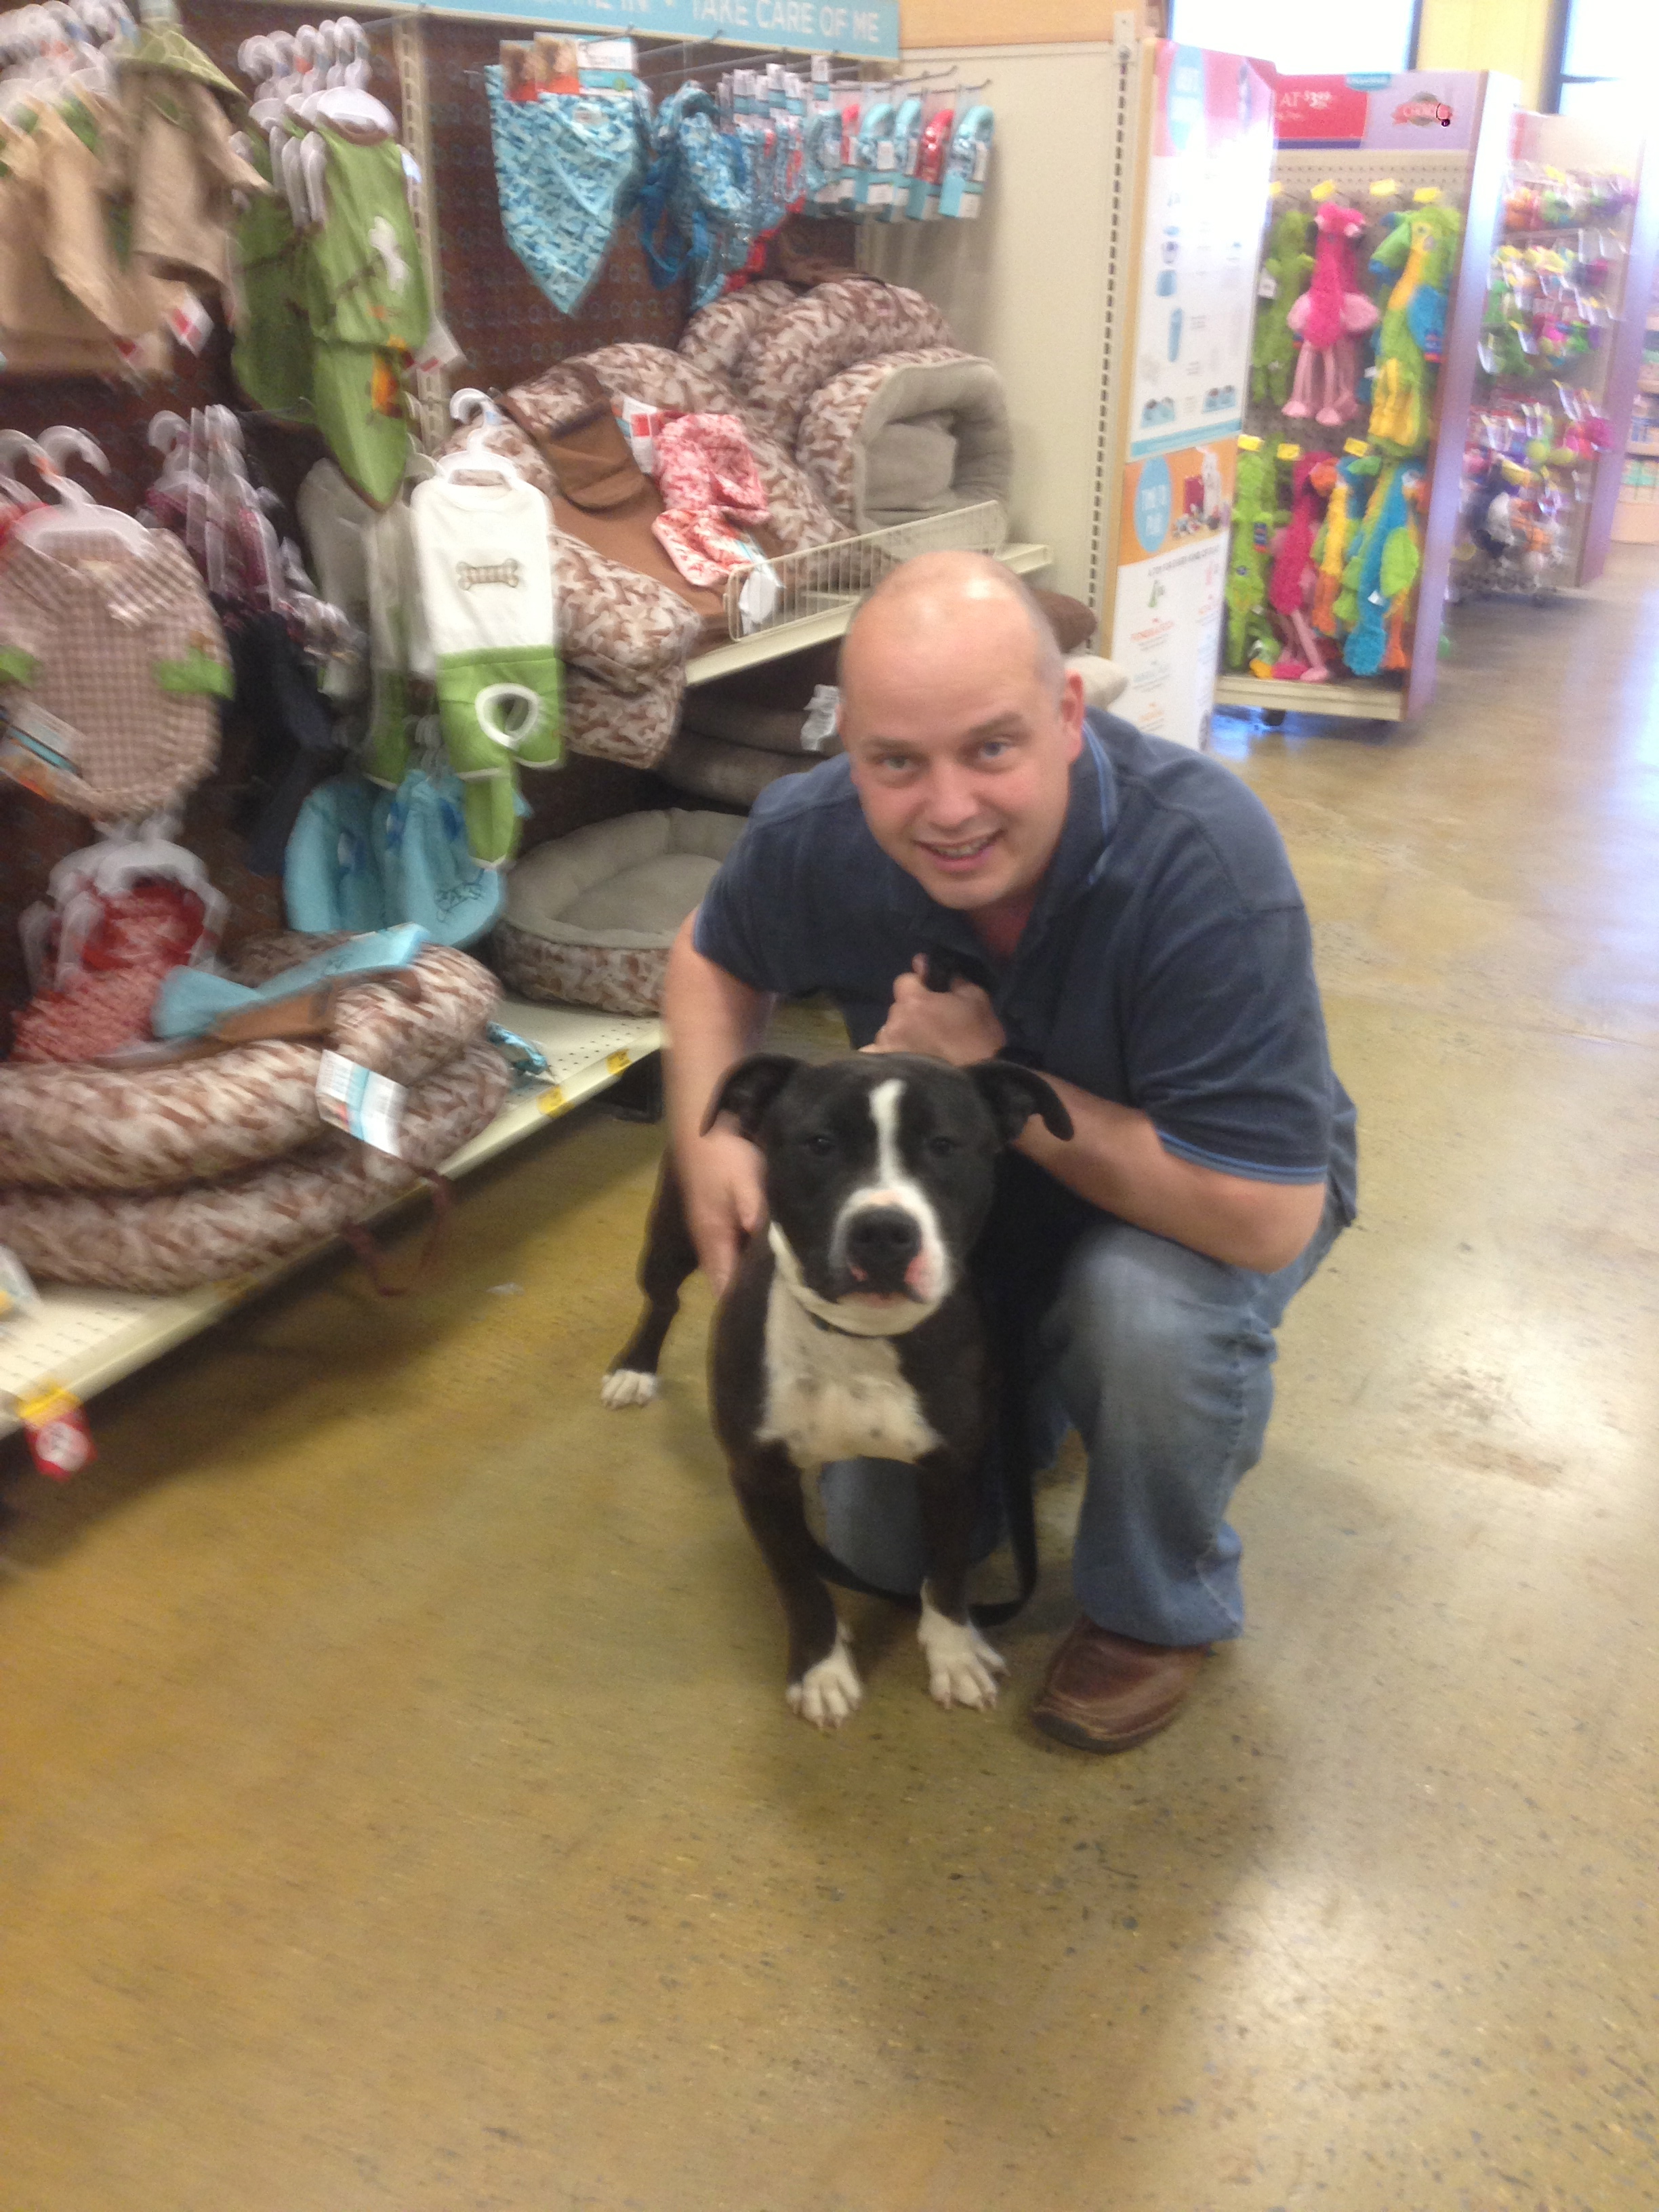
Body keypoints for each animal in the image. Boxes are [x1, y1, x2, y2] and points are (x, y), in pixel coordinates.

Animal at [602, 1049, 1071, 1728]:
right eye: (819, 1144)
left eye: (944, 1146)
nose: (884, 1231)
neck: (858, 1339)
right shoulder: (760, 1475)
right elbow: (798, 1580)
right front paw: (822, 1669)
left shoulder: (955, 1467)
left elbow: (948, 1571)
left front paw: (954, 1653)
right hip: (676, 1230)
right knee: (661, 1300)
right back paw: (634, 1368)